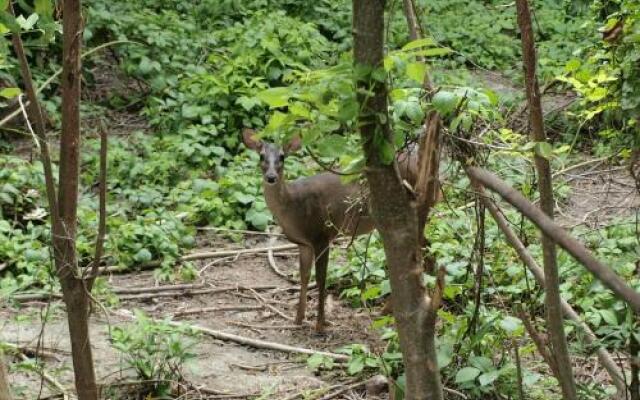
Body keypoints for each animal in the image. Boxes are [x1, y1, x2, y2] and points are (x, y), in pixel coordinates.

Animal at [241, 128, 420, 332]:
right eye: (261, 156)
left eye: (282, 156)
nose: (271, 177)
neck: (292, 208)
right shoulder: (304, 243)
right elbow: (304, 276)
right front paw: (298, 319)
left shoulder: (321, 236)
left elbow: (321, 279)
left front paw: (320, 324)